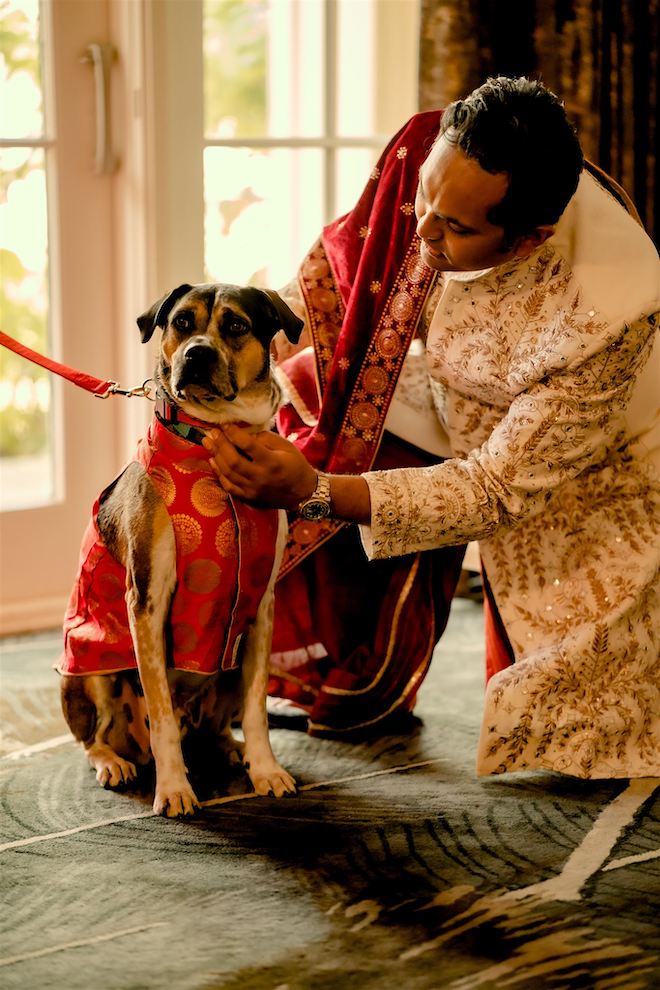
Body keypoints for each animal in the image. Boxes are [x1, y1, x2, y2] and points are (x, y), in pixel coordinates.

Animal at [58, 282, 302, 816]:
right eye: (182, 323)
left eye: (236, 325)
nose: (197, 354)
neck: (212, 439)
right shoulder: (148, 599)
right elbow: (162, 711)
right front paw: (173, 789)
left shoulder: (260, 603)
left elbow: (257, 706)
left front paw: (266, 769)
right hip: (88, 671)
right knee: (95, 737)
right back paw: (116, 763)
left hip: (227, 670)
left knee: (214, 727)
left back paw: (231, 750)